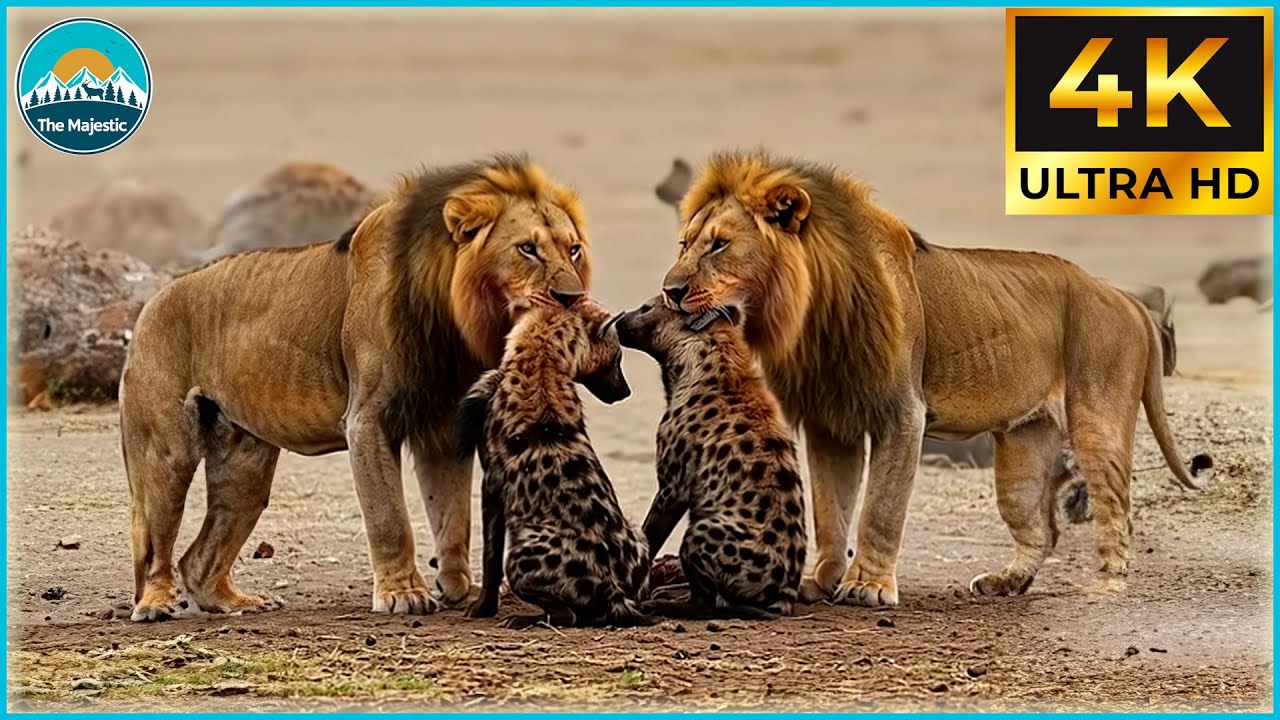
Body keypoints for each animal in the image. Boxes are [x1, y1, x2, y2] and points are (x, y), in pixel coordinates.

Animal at [121, 154, 603, 621]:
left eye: (573, 250)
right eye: (527, 249)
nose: (570, 297)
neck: (452, 320)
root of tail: (154, 300)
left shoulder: (444, 424)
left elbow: (453, 518)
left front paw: (459, 590)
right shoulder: (368, 420)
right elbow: (390, 517)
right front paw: (403, 594)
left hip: (245, 468)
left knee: (198, 561)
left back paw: (236, 602)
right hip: (166, 452)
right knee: (154, 541)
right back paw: (156, 605)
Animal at [660, 151, 1212, 606]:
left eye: (719, 246)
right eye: (683, 244)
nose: (670, 290)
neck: (808, 315)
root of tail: (1123, 296)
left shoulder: (903, 412)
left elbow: (880, 507)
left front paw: (868, 586)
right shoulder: (830, 420)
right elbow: (830, 510)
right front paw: (821, 580)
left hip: (1098, 422)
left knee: (1117, 511)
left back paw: (1105, 585)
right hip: (1024, 450)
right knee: (1042, 528)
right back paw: (1006, 583)